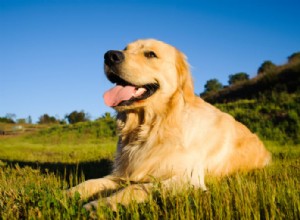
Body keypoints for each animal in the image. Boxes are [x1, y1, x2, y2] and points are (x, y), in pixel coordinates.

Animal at [68, 39, 272, 210]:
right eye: (125, 48)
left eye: (150, 54)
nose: (110, 55)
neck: (153, 126)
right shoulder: (124, 173)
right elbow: (91, 182)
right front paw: (67, 193)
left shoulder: (189, 179)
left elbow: (136, 188)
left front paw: (99, 205)